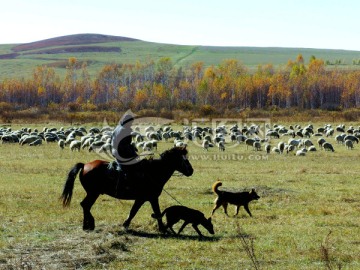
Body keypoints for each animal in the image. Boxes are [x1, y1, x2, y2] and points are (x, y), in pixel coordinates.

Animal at [60, 147, 194, 231]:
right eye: (183, 158)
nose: (191, 171)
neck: (153, 171)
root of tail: (85, 165)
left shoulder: (143, 199)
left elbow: (135, 211)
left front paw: (126, 224)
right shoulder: (151, 198)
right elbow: (155, 212)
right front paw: (162, 229)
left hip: (93, 193)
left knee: (85, 205)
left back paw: (87, 225)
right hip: (93, 193)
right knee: (86, 205)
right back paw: (89, 224)